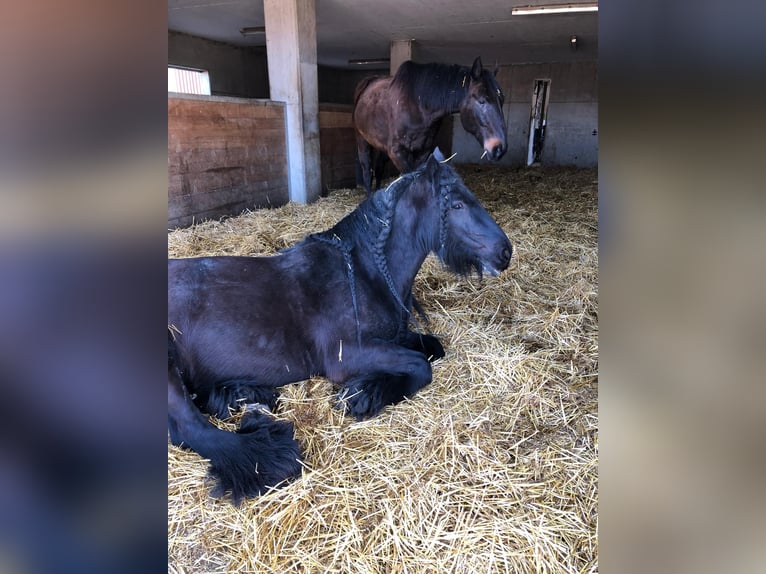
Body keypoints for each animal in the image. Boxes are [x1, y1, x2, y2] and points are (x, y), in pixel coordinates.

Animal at [170, 150, 516, 504]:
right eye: (457, 204)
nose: (505, 252)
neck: (364, 272)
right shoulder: (345, 354)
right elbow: (421, 365)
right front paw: (363, 394)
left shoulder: (393, 337)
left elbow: (432, 347)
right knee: (193, 430)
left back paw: (243, 394)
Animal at [356, 56, 510, 196]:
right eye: (481, 100)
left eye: (502, 100)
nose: (499, 148)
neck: (416, 105)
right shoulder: (397, 153)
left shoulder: (423, 152)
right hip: (363, 142)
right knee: (367, 171)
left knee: (379, 168)